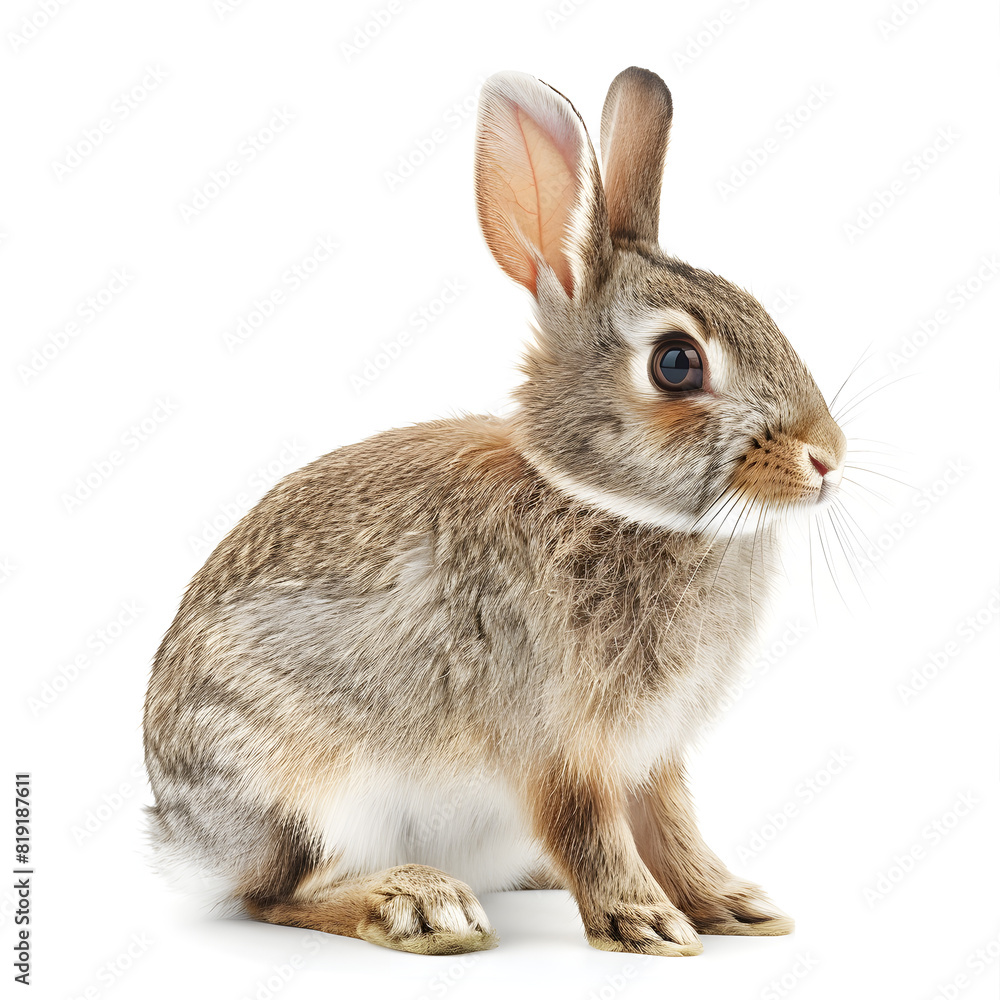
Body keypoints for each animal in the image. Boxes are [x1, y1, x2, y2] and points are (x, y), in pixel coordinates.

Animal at [143, 65, 846, 958]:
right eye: (677, 363)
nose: (827, 456)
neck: (598, 498)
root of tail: (182, 840)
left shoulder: (652, 755)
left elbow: (673, 825)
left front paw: (733, 906)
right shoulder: (556, 744)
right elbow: (589, 828)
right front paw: (645, 922)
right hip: (311, 791)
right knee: (277, 895)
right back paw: (422, 905)